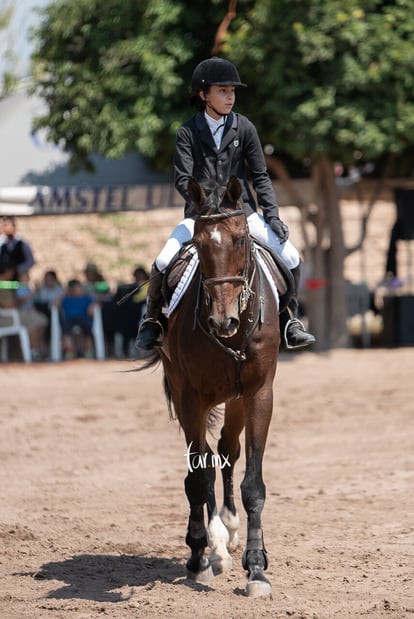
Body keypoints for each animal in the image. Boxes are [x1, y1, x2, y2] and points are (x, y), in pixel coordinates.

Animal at [142, 176, 282, 600]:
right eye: (201, 244)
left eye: (239, 240)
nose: (223, 321)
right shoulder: (191, 397)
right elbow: (197, 476)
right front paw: (199, 558)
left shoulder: (258, 394)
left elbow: (252, 483)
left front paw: (257, 569)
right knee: (202, 460)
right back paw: (214, 546)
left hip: (235, 401)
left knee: (226, 450)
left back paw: (229, 529)